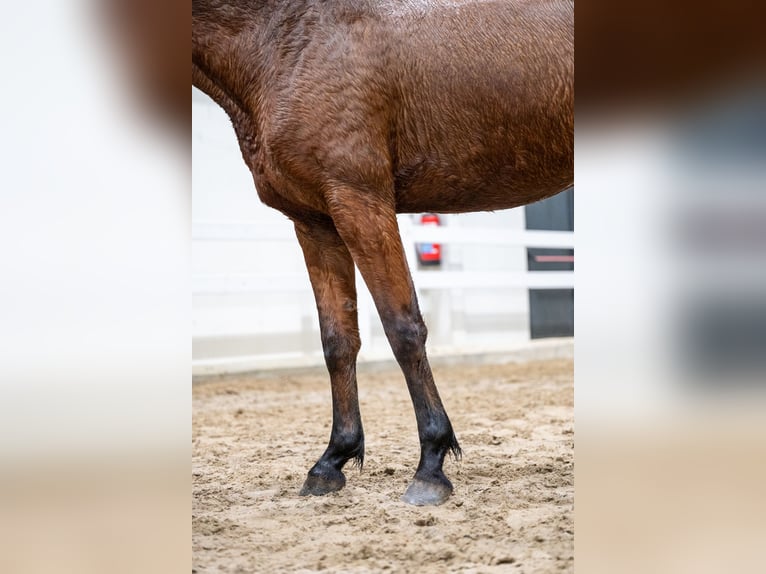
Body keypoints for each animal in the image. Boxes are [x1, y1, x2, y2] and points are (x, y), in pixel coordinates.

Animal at [195, 0, 572, 504]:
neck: (286, 39)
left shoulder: (361, 201)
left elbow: (403, 329)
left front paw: (431, 465)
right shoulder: (315, 222)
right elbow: (338, 340)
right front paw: (332, 460)